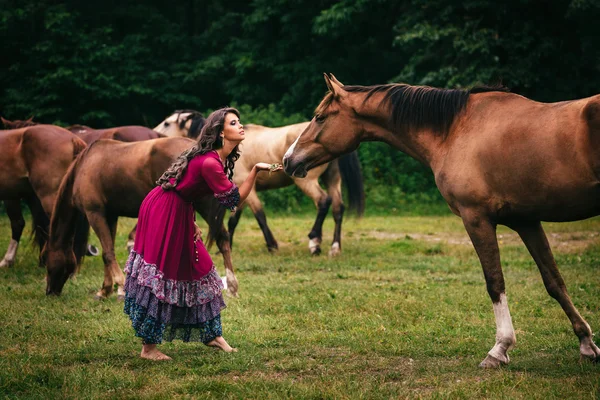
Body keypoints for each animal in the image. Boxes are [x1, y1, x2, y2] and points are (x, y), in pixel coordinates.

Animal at [44, 136, 239, 298]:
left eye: (46, 259)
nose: (49, 291)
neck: (84, 166)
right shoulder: (110, 216)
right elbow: (108, 251)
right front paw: (105, 290)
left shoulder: (95, 213)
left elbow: (107, 253)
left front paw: (120, 287)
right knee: (223, 238)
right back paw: (231, 287)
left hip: (203, 207)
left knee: (221, 238)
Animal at [155, 111, 364, 255]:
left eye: (167, 122)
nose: (155, 133)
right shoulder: (238, 192)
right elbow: (234, 220)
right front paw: (228, 245)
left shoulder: (249, 191)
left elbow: (260, 215)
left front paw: (272, 245)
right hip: (332, 179)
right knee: (338, 208)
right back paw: (334, 247)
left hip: (307, 181)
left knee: (323, 201)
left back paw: (315, 242)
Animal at [284, 73, 600, 368]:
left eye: (320, 117)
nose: (288, 160)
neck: (457, 130)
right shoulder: (526, 221)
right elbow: (554, 281)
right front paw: (586, 343)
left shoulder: (476, 219)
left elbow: (495, 282)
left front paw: (499, 349)